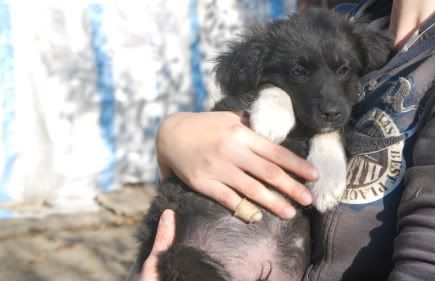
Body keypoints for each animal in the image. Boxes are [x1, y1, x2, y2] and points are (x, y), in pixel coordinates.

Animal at [132, 8, 392, 280]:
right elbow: (270, 85)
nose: (331, 112)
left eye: (344, 69)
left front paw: (327, 179)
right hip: (183, 257)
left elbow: (336, 127)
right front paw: (273, 117)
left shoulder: (343, 109)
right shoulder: (232, 102)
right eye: (298, 72)